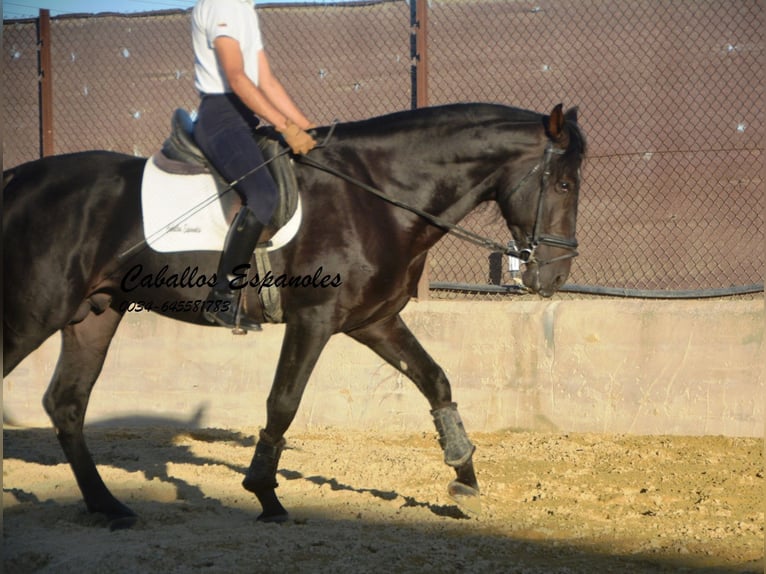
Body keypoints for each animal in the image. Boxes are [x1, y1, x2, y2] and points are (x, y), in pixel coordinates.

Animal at [3, 103, 584, 532]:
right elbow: (283, 402)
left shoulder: (373, 321)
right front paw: (265, 493)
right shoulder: (315, 320)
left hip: (93, 314)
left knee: (67, 404)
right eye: (564, 185)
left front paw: (464, 474)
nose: (553, 276)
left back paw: (110, 507)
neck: (375, 195)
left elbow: (435, 380)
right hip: (35, 311)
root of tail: (17, 181)